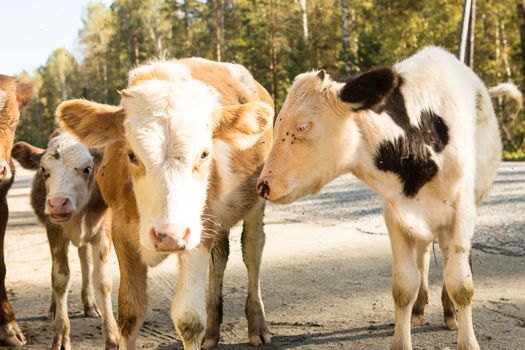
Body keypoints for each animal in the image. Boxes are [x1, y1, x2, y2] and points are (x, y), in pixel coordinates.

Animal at [11, 131, 118, 350]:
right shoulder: (54, 231)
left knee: (85, 262)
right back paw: (54, 308)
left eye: (87, 169)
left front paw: (112, 337)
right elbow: (60, 279)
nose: (58, 203)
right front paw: (60, 335)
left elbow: (103, 281)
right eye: (44, 170)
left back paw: (90, 305)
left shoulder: (104, 230)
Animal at [56, 58, 274, 348]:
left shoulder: (196, 235)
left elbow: (188, 319)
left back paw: (257, 324)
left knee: (252, 248)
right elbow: (130, 312)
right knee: (220, 255)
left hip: (256, 197)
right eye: (131, 155)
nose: (168, 235)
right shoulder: (121, 231)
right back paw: (212, 332)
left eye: (205, 154)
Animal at [255, 47, 520, 350]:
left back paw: (449, 312)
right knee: (424, 256)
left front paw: (466, 336)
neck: (418, 141)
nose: (263, 185)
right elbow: (404, 286)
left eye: (302, 126)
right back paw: (420, 308)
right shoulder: (396, 215)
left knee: (447, 258)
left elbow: (461, 284)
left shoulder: (462, 212)